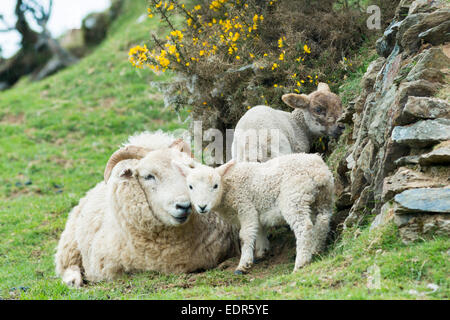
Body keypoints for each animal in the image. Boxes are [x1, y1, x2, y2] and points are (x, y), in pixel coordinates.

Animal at [54, 131, 239, 286]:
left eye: (188, 170)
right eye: (148, 176)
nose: (185, 205)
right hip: (70, 242)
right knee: (67, 264)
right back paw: (73, 280)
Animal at [172, 154, 334, 274]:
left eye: (215, 186)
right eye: (190, 186)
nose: (202, 207)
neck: (227, 187)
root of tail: (318, 172)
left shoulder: (245, 207)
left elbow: (245, 236)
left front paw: (244, 264)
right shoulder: (256, 210)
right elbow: (260, 229)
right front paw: (262, 251)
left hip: (294, 197)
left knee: (304, 227)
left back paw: (301, 263)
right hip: (323, 197)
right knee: (323, 221)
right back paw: (316, 249)